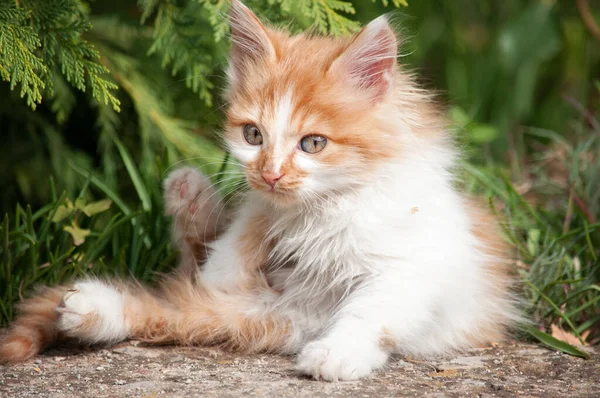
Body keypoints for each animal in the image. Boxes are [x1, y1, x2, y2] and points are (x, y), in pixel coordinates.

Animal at [0, 0, 520, 380]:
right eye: (253, 135)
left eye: (314, 143)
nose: (270, 173)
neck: (319, 210)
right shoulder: (260, 211)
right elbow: (245, 228)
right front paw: (234, 248)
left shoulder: (412, 265)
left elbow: (374, 309)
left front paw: (338, 354)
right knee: (185, 282)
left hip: (267, 317)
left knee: (182, 304)